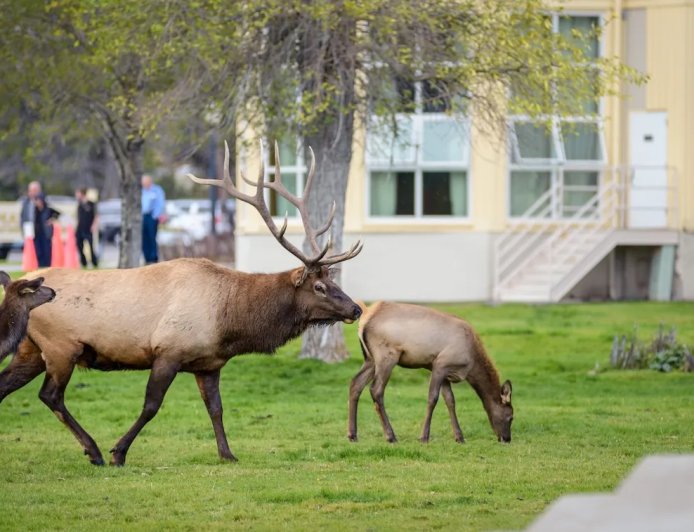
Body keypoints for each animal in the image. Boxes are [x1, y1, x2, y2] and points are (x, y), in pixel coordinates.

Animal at [0, 141, 363, 466]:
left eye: (333, 280)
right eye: (320, 286)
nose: (356, 309)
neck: (230, 323)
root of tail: (20, 282)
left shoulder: (209, 364)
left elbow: (216, 408)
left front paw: (227, 454)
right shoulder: (168, 351)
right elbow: (151, 405)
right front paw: (119, 452)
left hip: (31, 349)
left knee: (7, 386)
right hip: (62, 347)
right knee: (51, 396)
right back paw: (95, 451)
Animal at [348, 301, 513, 444]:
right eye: (511, 416)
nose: (507, 439)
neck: (470, 365)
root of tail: (364, 319)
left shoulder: (446, 373)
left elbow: (450, 401)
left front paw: (459, 437)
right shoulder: (440, 364)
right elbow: (432, 398)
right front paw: (424, 437)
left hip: (370, 359)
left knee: (355, 383)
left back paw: (352, 435)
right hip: (387, 356)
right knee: (376, 389)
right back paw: (391, 436)